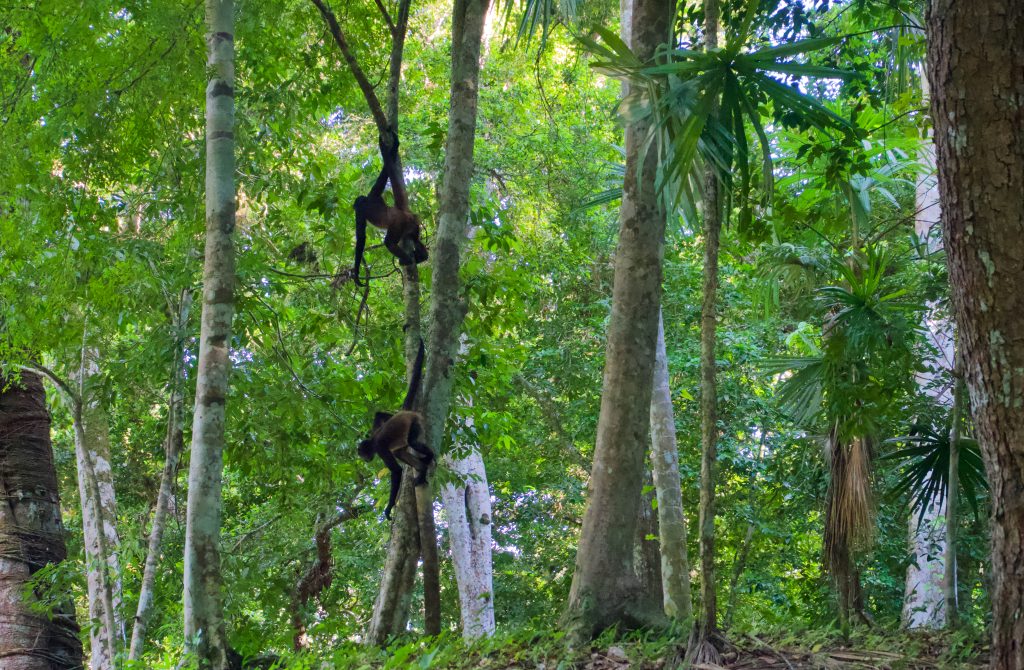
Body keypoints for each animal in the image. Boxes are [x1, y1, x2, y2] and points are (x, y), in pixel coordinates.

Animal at [351, 136, 429, 285]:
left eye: (356, 205)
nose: (353, 206)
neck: (366, 201)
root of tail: (400, 211)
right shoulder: (374, 193)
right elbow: (384, 174)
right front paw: (393, 148)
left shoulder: (361, 210)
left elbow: (361, 238)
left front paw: (356, 273)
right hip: (413, 225)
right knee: (415, 239)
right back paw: (422, 257)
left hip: (398, 224)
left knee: (389, 242)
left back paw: (408, 259)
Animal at [357, 339, 434, 520]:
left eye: (362, 454)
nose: (365, 460)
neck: (372, 440)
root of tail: (407, 413)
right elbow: (378, 414)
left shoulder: (379, 447)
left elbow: (397, 471)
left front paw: (389, 507)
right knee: (400, 451)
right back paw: (422, 469)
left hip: (415, 423)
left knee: (412, 442)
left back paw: (429, 458)